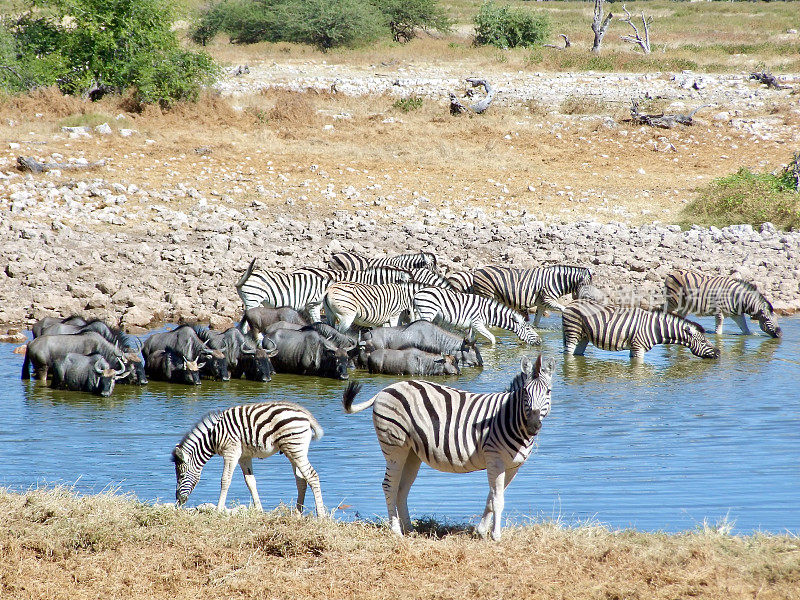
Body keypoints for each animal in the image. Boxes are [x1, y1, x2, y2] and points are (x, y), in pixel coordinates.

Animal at [172, 398, 324, 516]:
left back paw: (321, 515)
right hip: (293, 450)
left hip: (295, 448)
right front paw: (259, 509)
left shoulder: (231, 451)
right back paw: (298, 513)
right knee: (301, 480)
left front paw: (219, 510)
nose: (179, 501)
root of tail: (305, 413)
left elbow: (225, 480)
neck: (212, 436)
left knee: (312, 476)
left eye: (181, 475)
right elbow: (250, 482)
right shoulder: (244, 456)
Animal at [344, 354, 556, 540]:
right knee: (389, 485)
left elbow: (492, 498)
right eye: (526, 392)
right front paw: (495, 536)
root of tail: (386, 389)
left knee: (402, 489)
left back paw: (410, 529)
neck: (508, 417)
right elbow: (497, 500)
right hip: (394, 446)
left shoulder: (513, 466)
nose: (533, 425)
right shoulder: (495, 459)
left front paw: (481, 531)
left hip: (411, 452)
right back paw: (396, 531)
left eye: (548, 392)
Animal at [410, 288, 540, 344]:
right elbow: (492, 338)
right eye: (528, 329)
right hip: (428, 312)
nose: (540, 341)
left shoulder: (472, 326)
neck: (490, 313)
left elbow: (471, 338)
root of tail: (417, 293)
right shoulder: (478, 324)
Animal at [560, 300, 720, 360]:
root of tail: (571, 303)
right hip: (573, 332)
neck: (656, 328)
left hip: (584, 337)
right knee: (568, 353)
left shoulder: (634, 348)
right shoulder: (639, 347)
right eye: (704, 341)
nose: (718, 353)